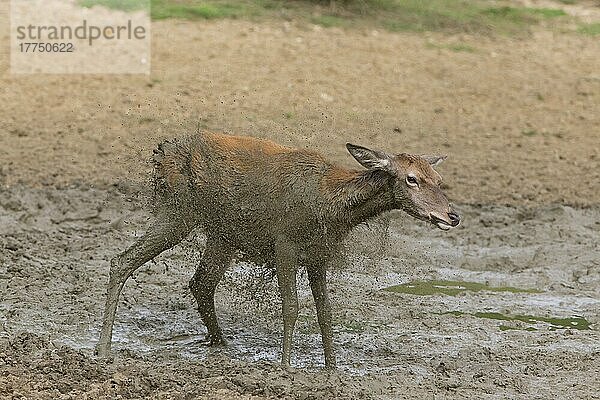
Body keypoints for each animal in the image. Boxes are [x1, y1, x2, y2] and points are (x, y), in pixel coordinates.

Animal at [97, 131, 460, 368]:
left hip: (222, 234)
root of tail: (161, 153)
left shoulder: (319, 256)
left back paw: (221, 345)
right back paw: (103, 349)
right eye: (412, 178)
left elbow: (325, 313)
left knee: (200, 283)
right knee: (121, 261)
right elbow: (291, 308)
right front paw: (285, 366)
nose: (452, 215)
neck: (331, 208)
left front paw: (332, 367)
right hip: (178, 211)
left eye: (438, 178)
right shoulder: (285, 243)